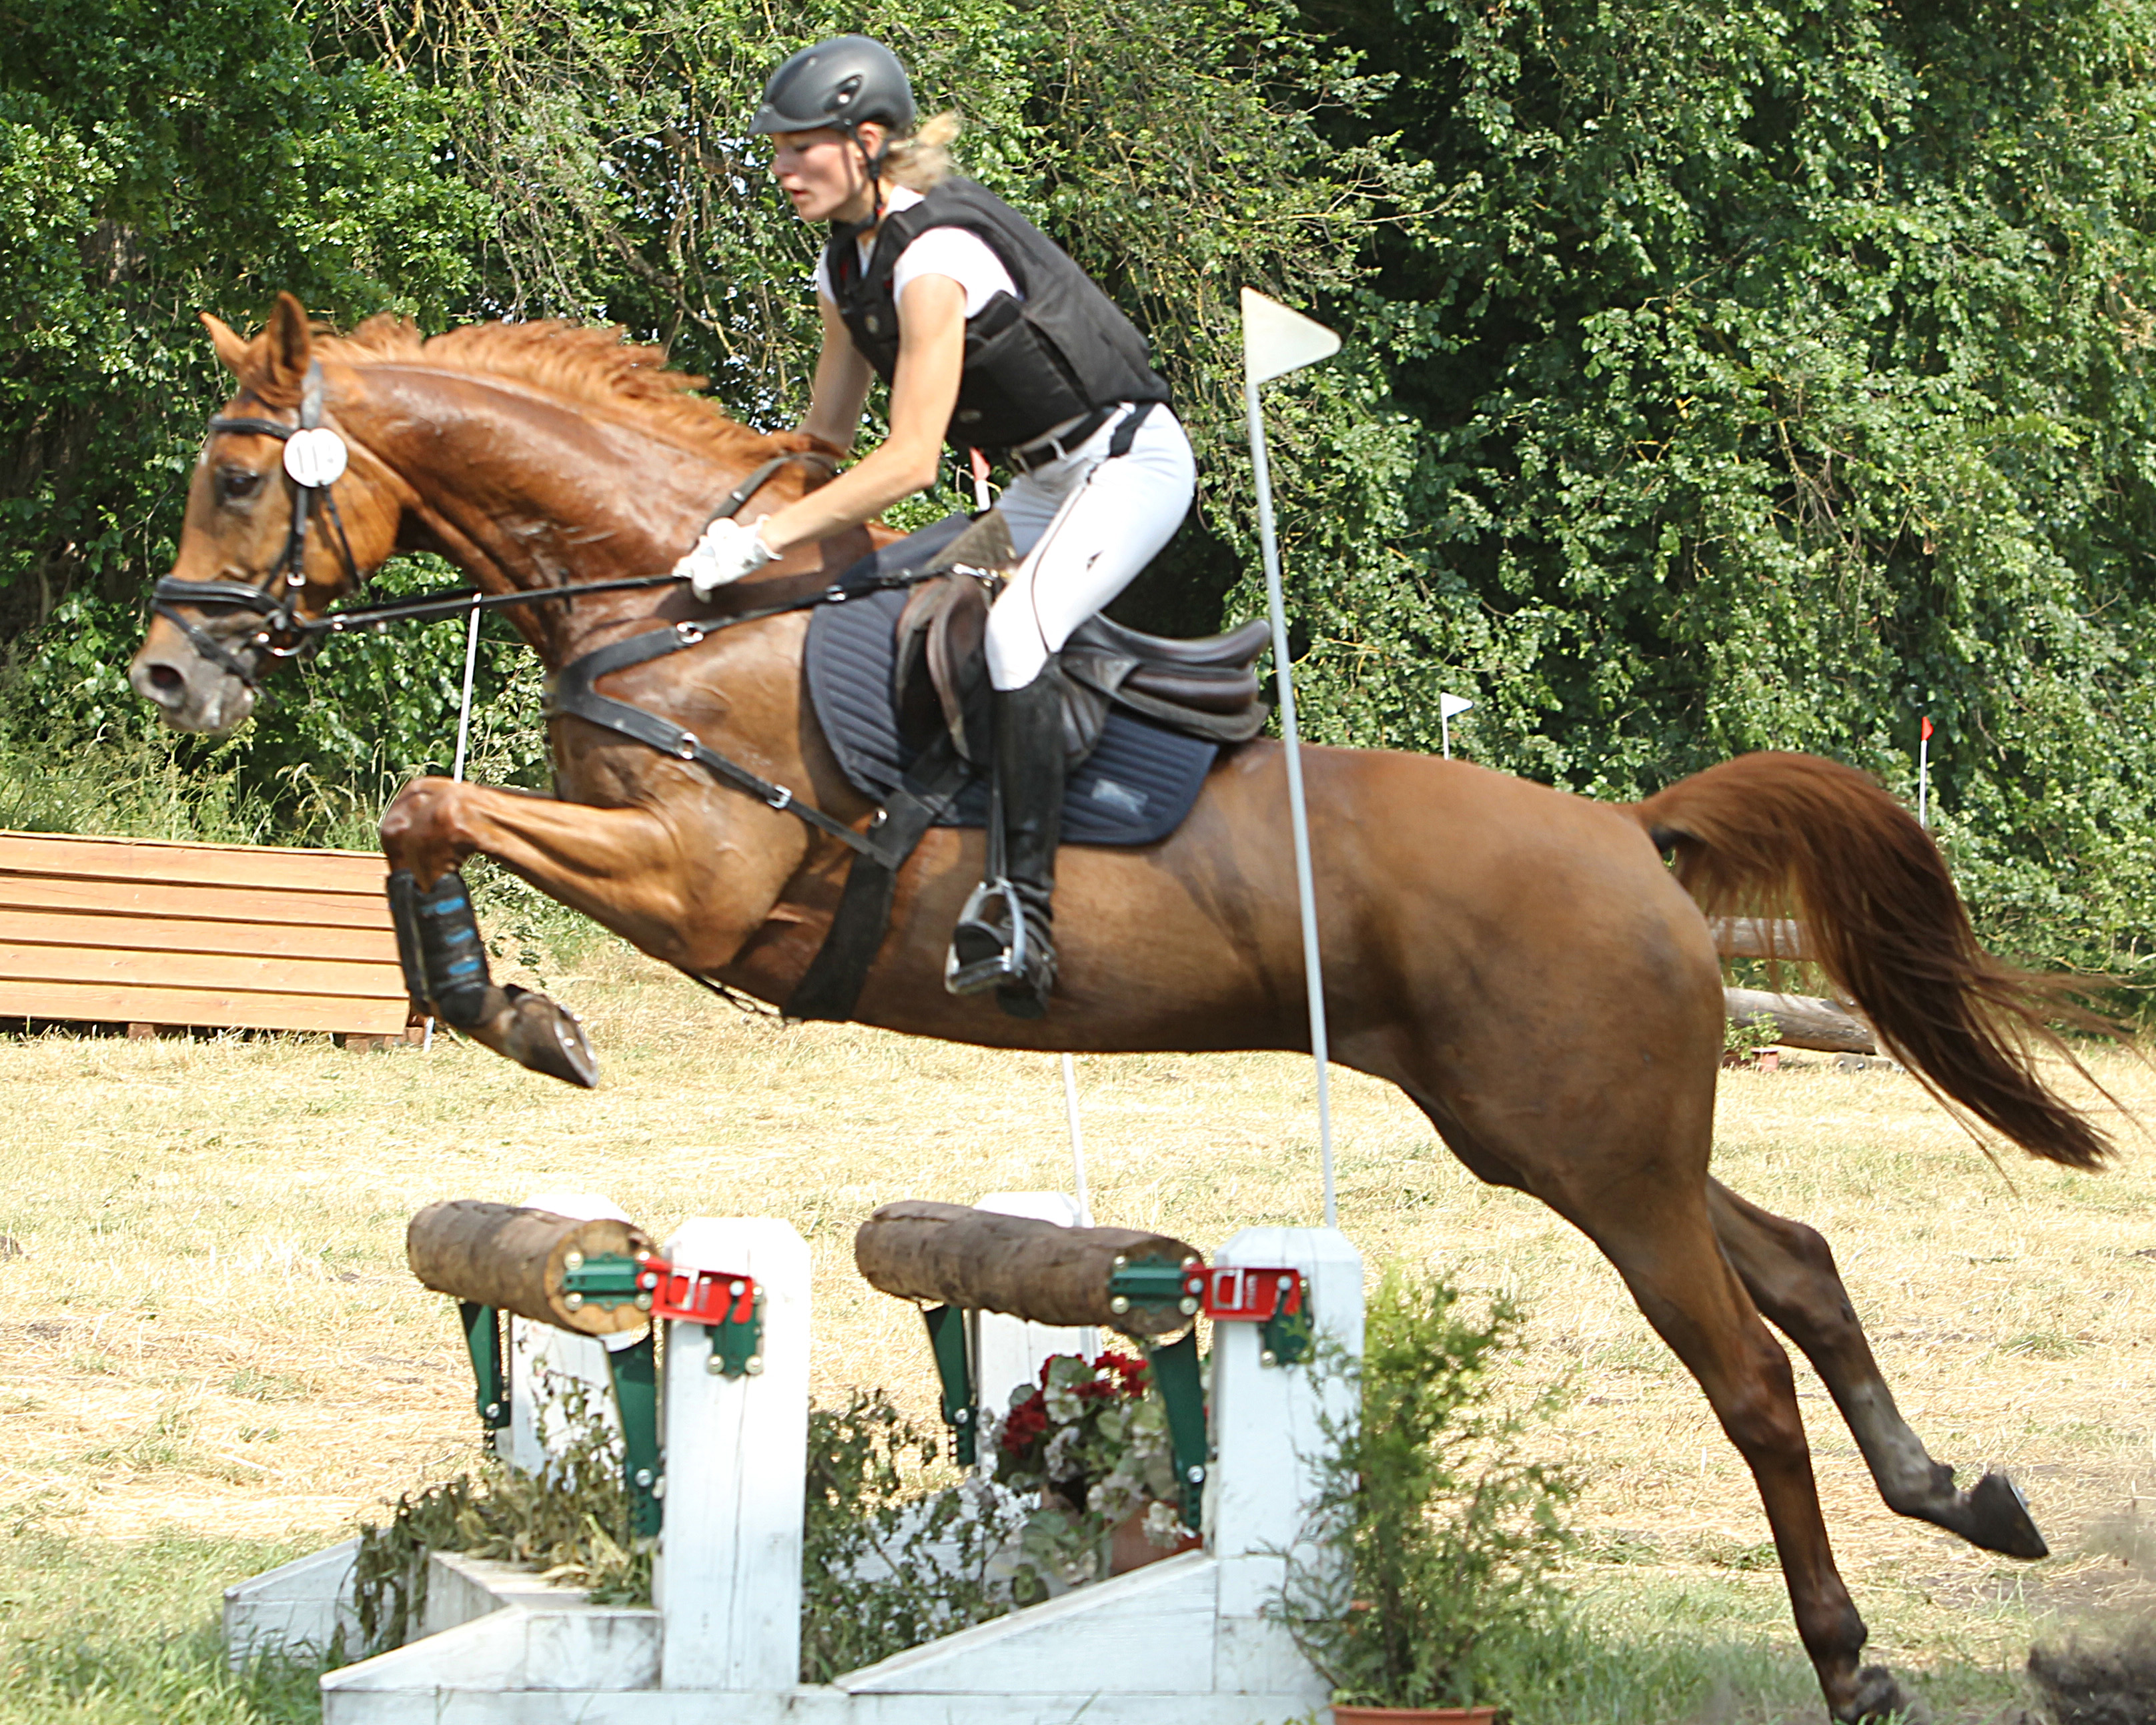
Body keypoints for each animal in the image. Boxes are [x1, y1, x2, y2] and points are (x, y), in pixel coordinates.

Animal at [135, 293, 2121, 1708]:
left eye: (236, 482)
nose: (171, 674)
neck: (683, 614)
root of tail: (1632, 835)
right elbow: (422, 809)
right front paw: (490, 998)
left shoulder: (701, 885)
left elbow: (428, 801)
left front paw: (513, 1013)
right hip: (1565, 1128)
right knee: (1797, 1261)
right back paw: (1960, 1496)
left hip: (1593, 1151)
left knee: (1744, 1370)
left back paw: (1856, 1656)